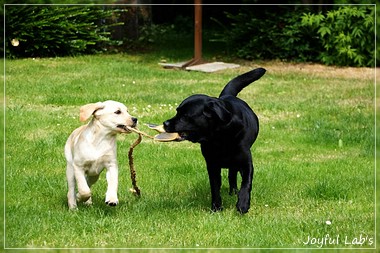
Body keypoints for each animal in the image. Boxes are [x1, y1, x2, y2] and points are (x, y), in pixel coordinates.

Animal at [164, 67, 268, 213]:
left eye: (185, 115)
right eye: (177, 111)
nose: (165, 123)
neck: (219, 138)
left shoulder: (246, 162)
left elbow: (246, 183)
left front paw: (243, 204)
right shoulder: (212, 165)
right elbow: (215, 187)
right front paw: (216, 207)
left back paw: (234, 192)